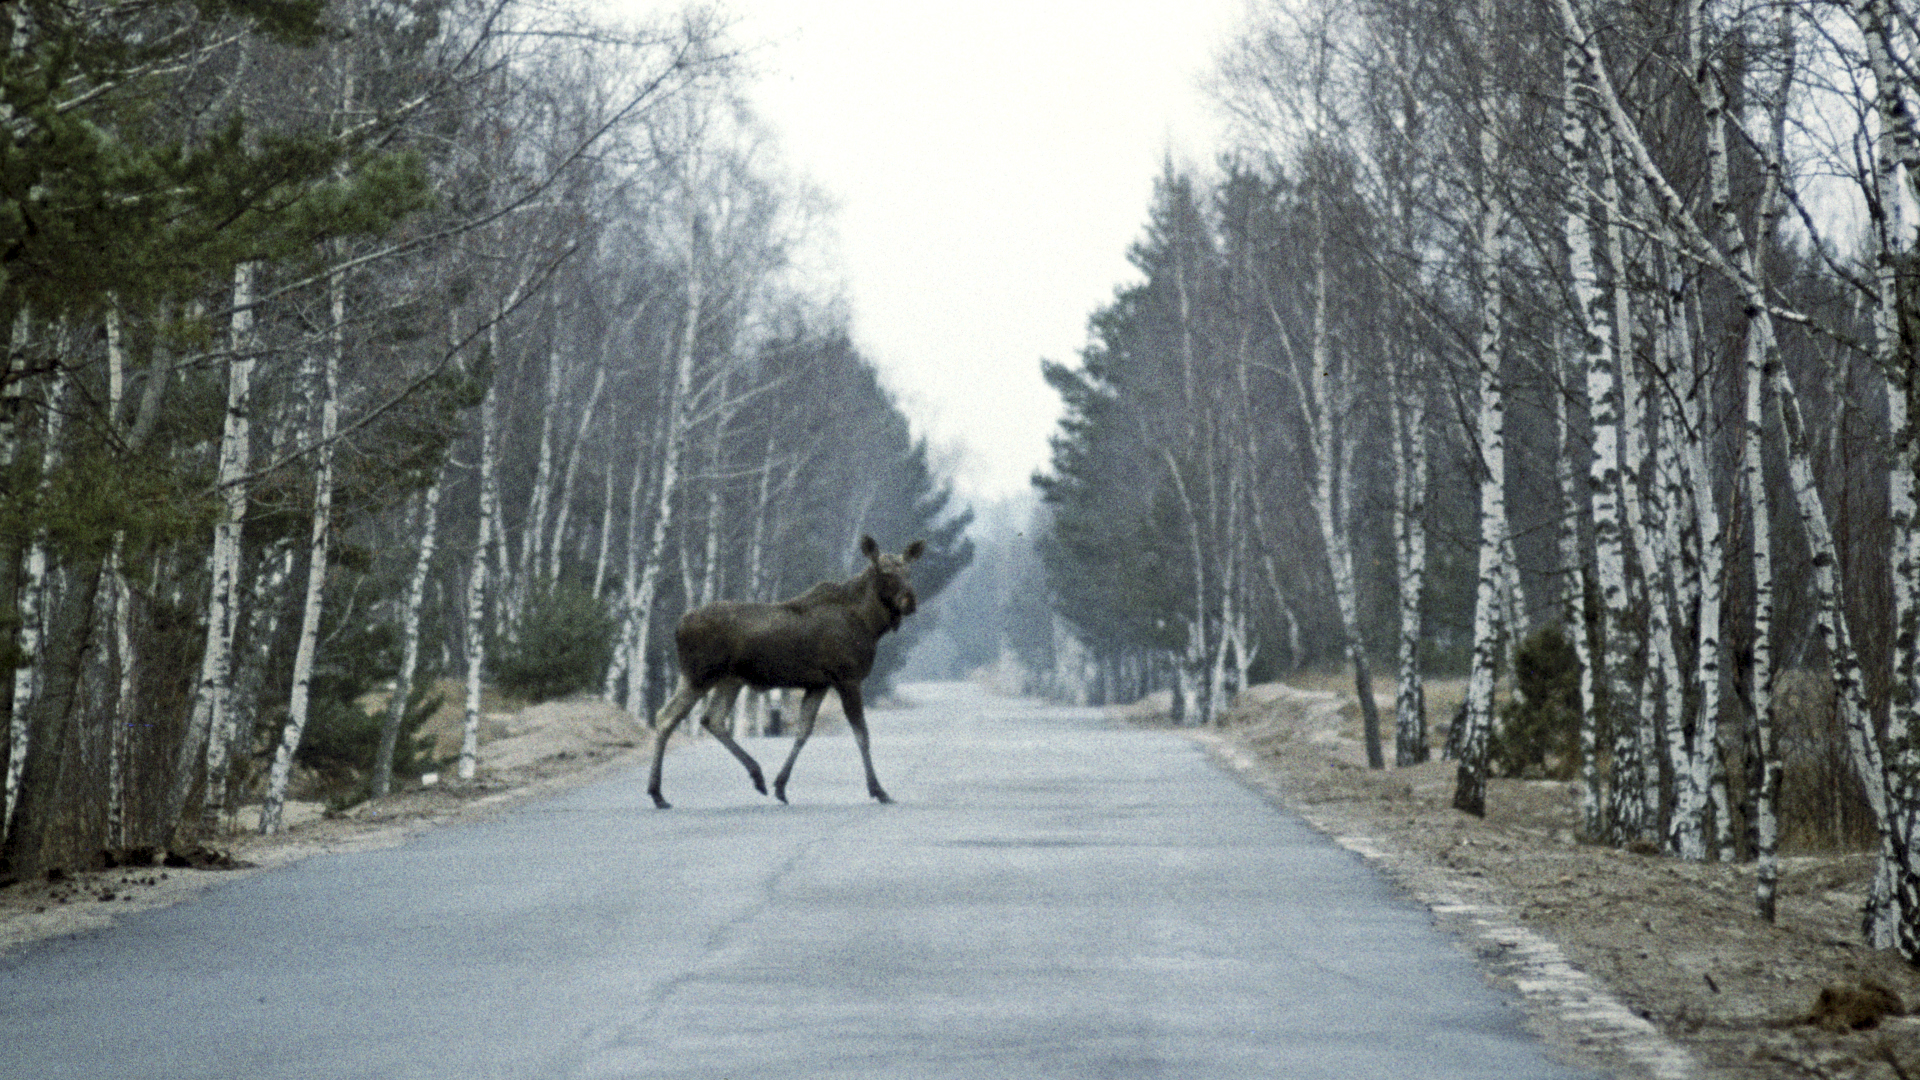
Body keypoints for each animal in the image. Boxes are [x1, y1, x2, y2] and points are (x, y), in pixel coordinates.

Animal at [645, 534, 929, 803]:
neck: (870, 625)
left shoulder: (819, 683)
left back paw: (756, 776)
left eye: (909, 571)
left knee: (711, 718)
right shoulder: (847, 677)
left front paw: (780, 785)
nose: (910, 601)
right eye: (885, 571)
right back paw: (657, 794)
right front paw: (879, 790)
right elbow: (862, 734)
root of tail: (678, 626)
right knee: (666, 716)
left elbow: (803, 732)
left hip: (728, 679)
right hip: (699, 675)